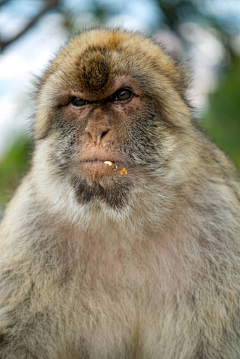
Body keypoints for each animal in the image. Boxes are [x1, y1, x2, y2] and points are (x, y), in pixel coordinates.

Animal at [0, 28, 240, 359]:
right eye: (78, 102)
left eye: (122, 95)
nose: (96, 131)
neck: (121, 222)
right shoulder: (26, 232)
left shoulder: (222, 228)